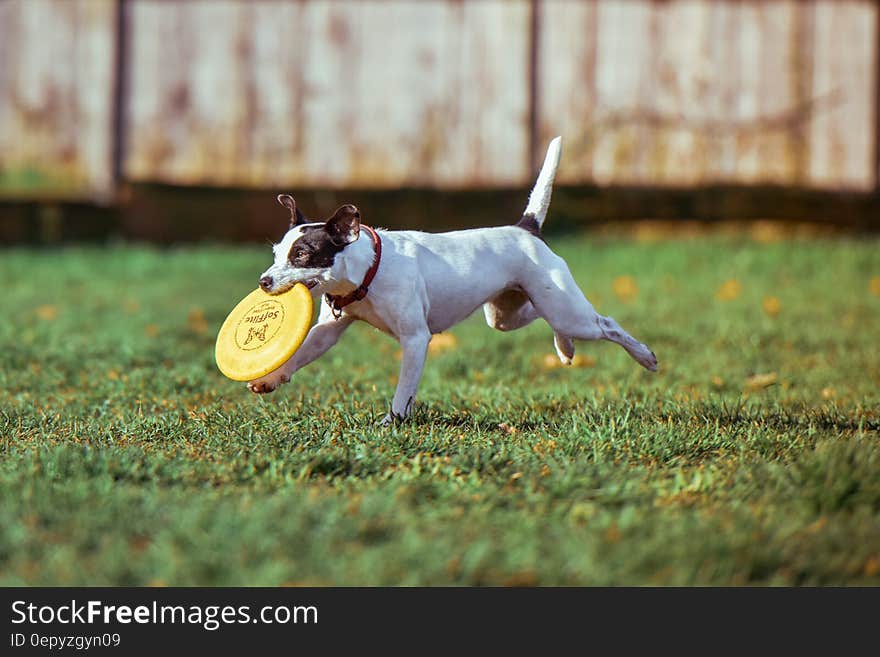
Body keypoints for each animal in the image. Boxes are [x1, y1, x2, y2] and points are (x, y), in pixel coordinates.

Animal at [246, 140, 652, 426]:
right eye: (276, 253)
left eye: (301, 255)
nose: (264, 281)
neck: (368, 271)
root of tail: (526, 229)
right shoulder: (327, 331)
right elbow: (301, 353)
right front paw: (271, 378)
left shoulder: (415, 339)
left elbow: (404, 390)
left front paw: (391, 422)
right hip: (507, 314)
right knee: (542, 317)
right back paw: (564, 348)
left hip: (568, 311)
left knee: (605, 324)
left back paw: (644, 356)